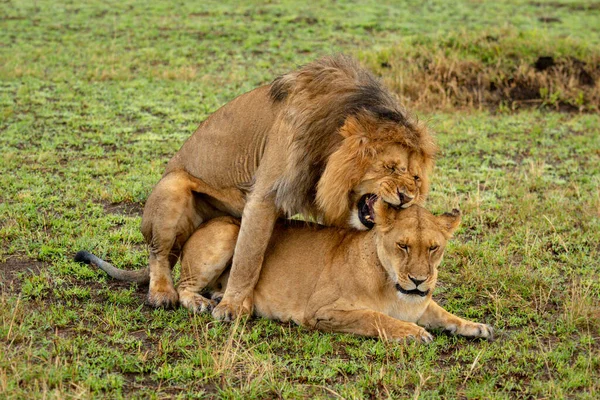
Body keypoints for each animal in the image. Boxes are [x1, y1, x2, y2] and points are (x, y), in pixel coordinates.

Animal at [76, 203, 492, 340]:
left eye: (433, 248)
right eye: (403, 246)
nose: (420, 279)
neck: (394, 285)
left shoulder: (422, 303)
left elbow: (444, 313)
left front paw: (476, 326)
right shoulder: (323, 311)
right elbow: (376, 318)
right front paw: (412, 333)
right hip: (229, 232)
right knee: (182, 288)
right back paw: (209, 303)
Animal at [82, 55, 436, 322]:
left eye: (416, 178)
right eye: (390, 168)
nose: (407, 197)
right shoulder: (264, 195)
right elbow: (248, 257)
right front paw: (232, 307)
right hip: (173, 186)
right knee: (161, 256)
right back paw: (165, 294)